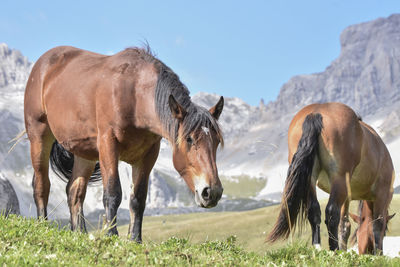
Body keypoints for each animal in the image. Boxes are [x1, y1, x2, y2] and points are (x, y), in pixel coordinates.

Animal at [24, 45, 225, 242]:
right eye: (189, 139)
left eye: (216, 142)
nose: (211, 192)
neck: (133, 94)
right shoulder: (108, 143)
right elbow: (113, 192)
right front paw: (111, 234)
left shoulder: (148, 155)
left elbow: (138, 198)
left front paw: (135, 239)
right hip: (39, 136)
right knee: (41, 184)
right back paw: (43, 224)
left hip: (84, 153)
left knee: (74, 191)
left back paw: (79, 233)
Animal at [268, 103, 396, 255]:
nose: (365, 251)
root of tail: (316, 112)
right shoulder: (383, 195)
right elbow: (377, 226)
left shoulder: (347, 196)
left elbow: (344, 225)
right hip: (339, 179)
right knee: (331, 213)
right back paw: (334, 250)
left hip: (311, 178)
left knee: (314, 211)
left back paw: (317, 248)